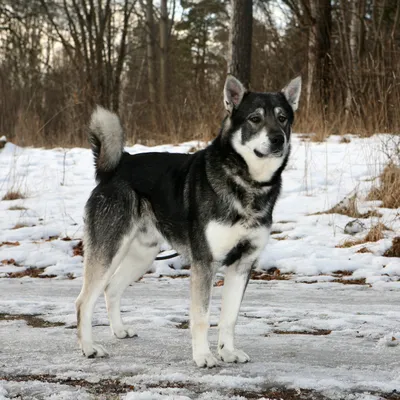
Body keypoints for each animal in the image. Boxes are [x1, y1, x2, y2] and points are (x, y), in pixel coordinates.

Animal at [75, 74, 302, 366]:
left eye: (283, 118)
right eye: (255, 118)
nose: (278, 139)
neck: (247, 183)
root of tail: (116, 167)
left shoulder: (242, 264)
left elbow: (229, 318)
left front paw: (227, 351)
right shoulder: (205, 263)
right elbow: (202, 317)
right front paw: (203, 356)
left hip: (142, 255)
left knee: (112, 289)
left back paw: (119, 330)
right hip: (109, 251)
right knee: (84, 301)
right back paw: (88, 347)